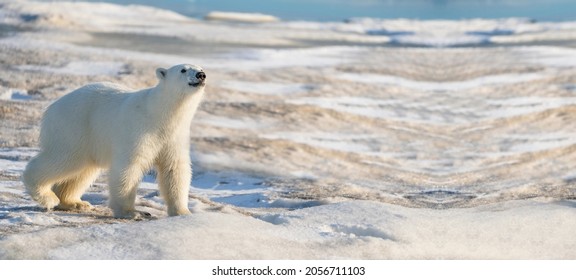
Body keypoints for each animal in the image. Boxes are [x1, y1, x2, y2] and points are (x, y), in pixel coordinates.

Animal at [23, 64, 207, 219]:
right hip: (75, 128)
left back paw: (74, 202)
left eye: (200, 68)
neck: (158, 114)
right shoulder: (138, 131)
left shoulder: (174, 138)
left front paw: (183, 212)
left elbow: (174, 170)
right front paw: (132, 212)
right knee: (64, 159)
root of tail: (51, 108)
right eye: (183, 70)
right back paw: (48, 197)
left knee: (83, 170)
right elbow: (129, 168)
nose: (201, 75)